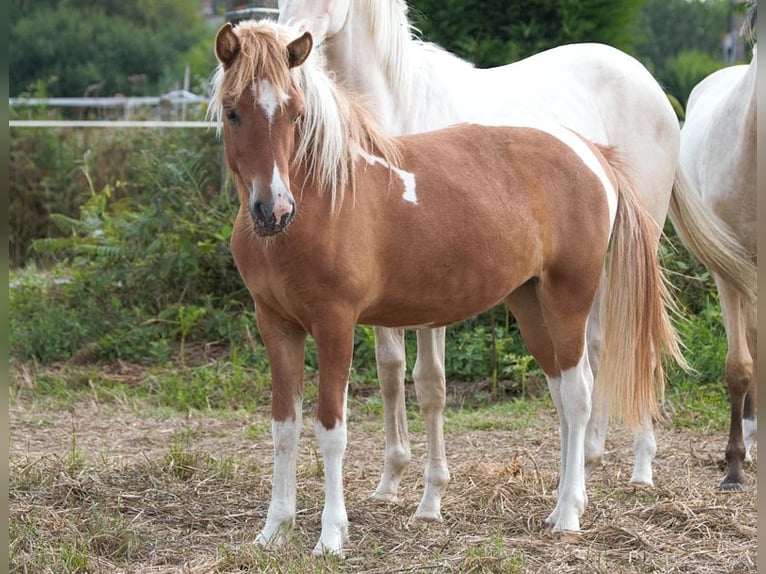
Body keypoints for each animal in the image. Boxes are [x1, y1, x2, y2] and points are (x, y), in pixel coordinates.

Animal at [210, 21, 684, 560]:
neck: (326, 195)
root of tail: (590, 153)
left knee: (579, 394)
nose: (274, 210)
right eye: (233, 111)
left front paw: (331, 537)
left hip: (569, 298)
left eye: (296, 113)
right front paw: (273, 530)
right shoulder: (276, 325)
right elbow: (283, 426)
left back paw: (568, 515)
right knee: (563, 395)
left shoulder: (336, 325)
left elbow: (331, 429)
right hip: (531, 304)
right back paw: (559, 507)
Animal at [278, 0, 760, 520]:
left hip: (640, 246)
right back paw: (588, 458)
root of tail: (652, 86)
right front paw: (389, 481)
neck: (397, 108)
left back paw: (641, 469)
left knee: (639, 344)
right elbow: (390, 373)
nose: (288, 44)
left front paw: (432, 498)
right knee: (595, 346)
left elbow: (430, 383)